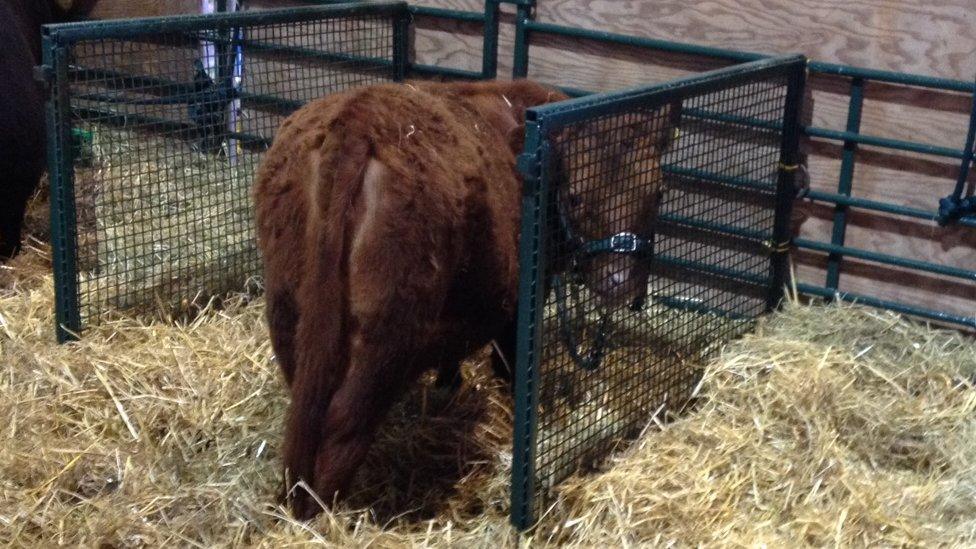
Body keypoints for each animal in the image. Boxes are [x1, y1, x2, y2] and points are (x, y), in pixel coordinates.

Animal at [254, 78, 680, 520]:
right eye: (577, 196)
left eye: (658, 192)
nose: (620, 282)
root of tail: (356, 119)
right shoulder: (521, 301)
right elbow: (509, 364)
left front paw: (449, 386)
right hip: (388, 329)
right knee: (343, 423)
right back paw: (325, 513)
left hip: (290, 307)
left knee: (307, 409)